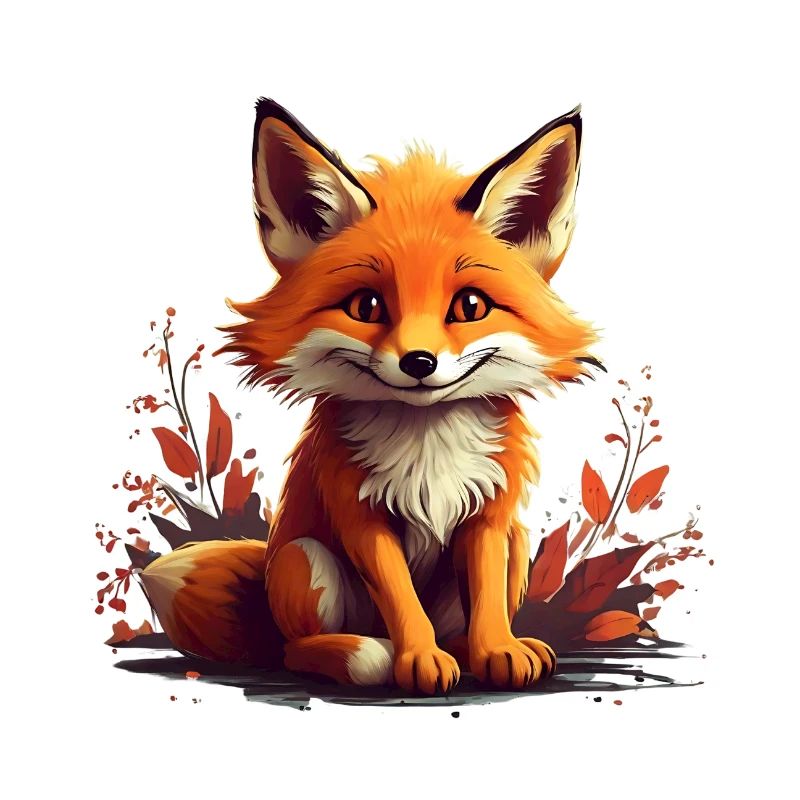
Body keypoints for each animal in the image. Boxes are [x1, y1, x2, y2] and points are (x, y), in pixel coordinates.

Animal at [140, 98, 599, 695]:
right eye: (366, 306)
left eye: (470, 306)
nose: (419, 362)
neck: (428, 445)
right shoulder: (359, 515)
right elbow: (402, 600)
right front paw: (416, 660)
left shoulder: (489, 516)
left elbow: (488, 602)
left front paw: (496, 650)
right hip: (305, 558)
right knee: (295, 651)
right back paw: (363, 654)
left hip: (517, 544)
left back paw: (468, 650)